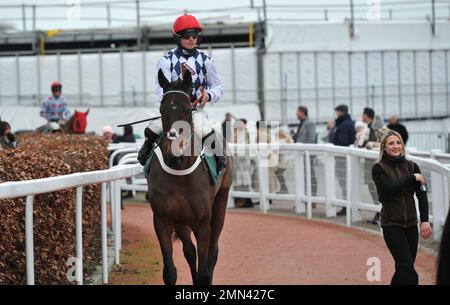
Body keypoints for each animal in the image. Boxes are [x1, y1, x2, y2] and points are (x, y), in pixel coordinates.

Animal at [147, 69, 232, 284]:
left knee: (213, 252)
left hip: (220, 202)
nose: (174, 154)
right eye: (161, 110)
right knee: (190, 251)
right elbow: (170, 272)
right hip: (181, 220)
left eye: (187, 109)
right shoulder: (162, 219)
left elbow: (204, 272)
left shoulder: (203, 223)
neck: (179, 174)